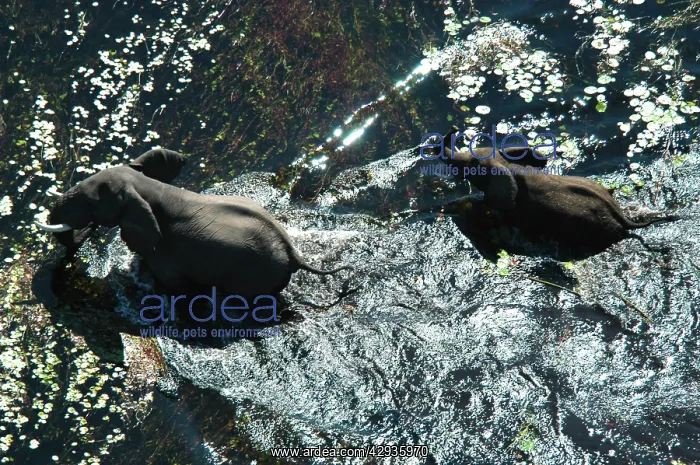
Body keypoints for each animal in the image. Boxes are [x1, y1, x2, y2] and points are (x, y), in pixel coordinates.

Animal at [35, 148, 351, 299]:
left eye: (91, 203)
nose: (87, 230)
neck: (146, 186)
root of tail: (293, 253)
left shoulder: (165, 251)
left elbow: (173, 284)